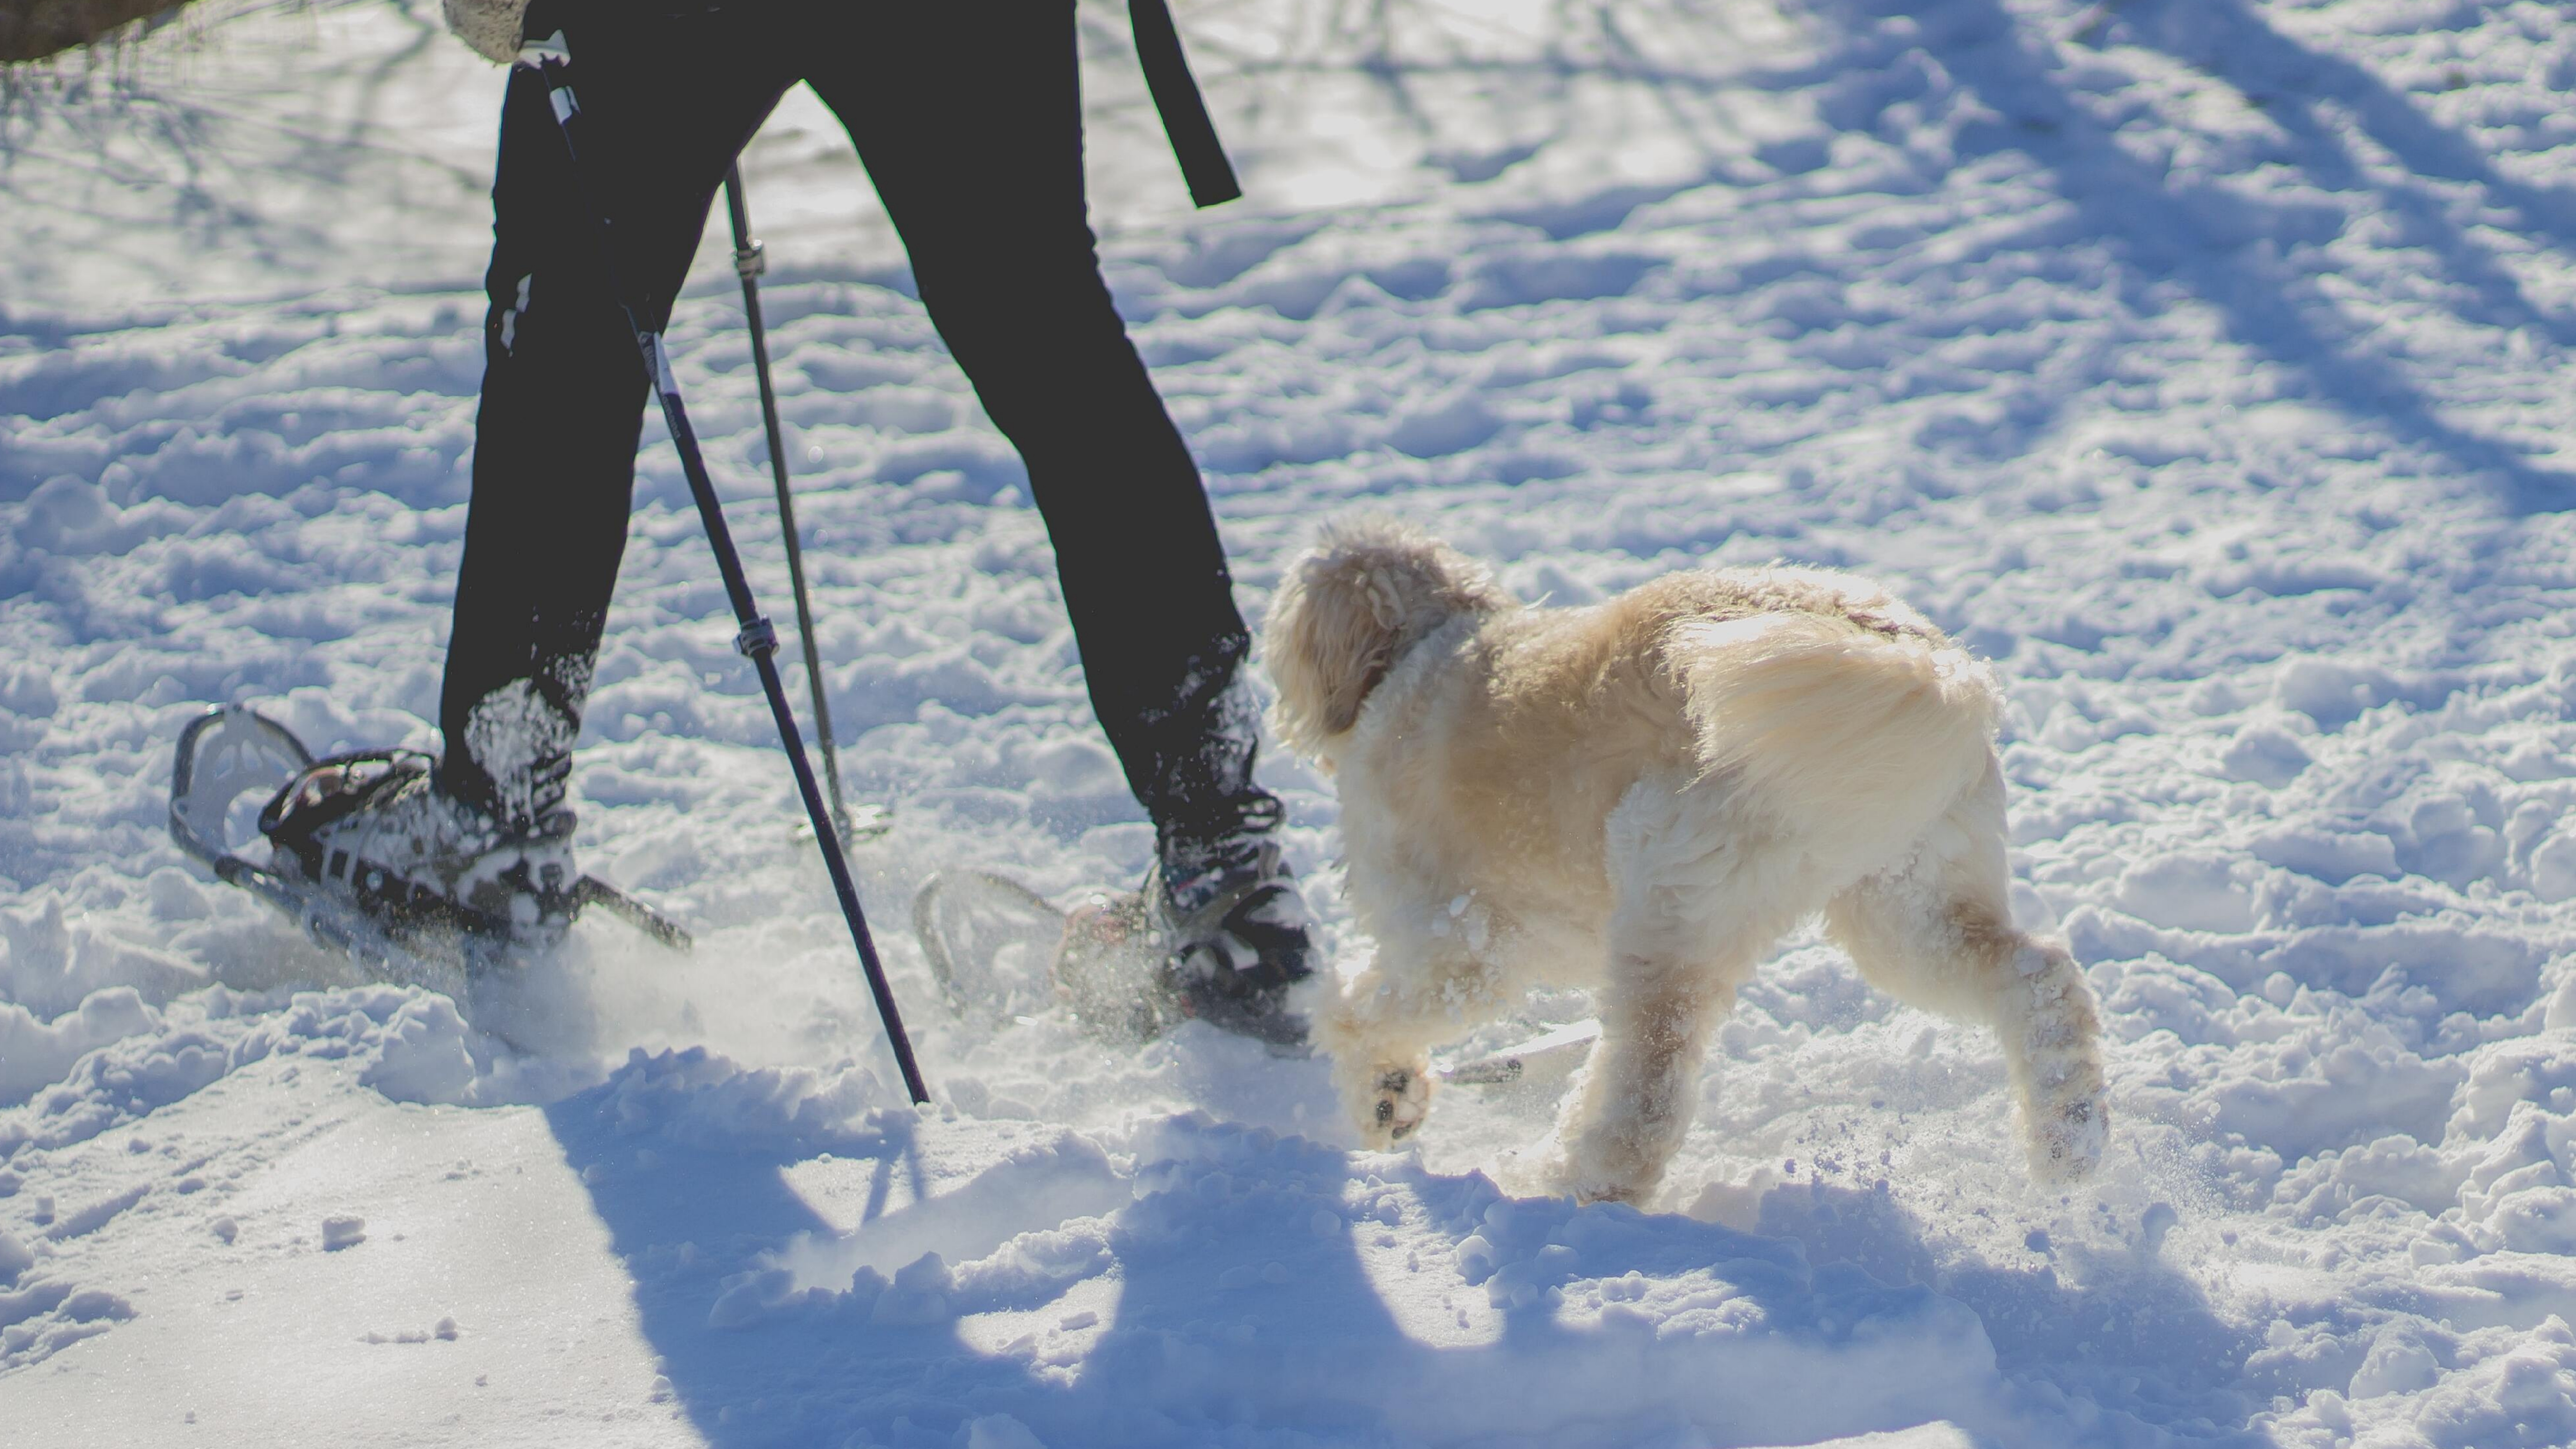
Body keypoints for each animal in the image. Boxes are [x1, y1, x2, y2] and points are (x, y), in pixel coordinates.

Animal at [1257, 516, 2102, 1196]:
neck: (1423, 649)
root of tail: (1921, 662)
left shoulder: (1458, 946)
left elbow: (1355, 1013)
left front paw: (1383, 1092)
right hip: (1907, 903)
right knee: (2039, 980)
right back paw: (2068, 1143)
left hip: (1667, 905)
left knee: (1645, 1096)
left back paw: (1565, 1183)